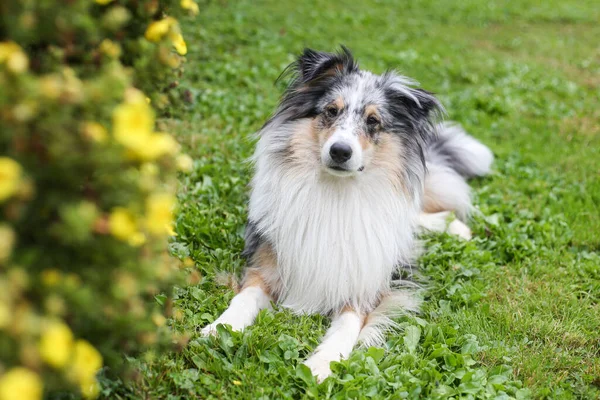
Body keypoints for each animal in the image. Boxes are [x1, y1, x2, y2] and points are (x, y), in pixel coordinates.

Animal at [202, 47, 492, 382]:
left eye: (373, 121)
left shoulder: (364, 284)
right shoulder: (266, 264)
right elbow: (244, 297)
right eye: (331, 111)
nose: (340, 151)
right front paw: (220, 328)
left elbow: (347, 325)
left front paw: (322, 363)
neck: (336, 194)